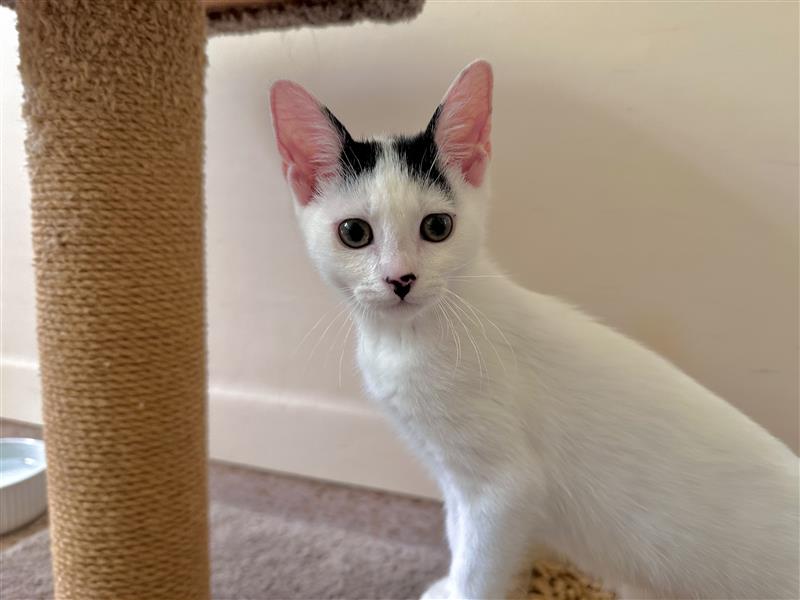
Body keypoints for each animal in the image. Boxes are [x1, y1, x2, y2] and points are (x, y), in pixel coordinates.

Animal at [268, 60, 799, 600]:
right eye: (354, 233)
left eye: (437, 227)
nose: (400, 279)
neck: (408, 340)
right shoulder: (454, 477)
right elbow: (457, 532)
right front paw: (449, 584)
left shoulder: (503, 490)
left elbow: (480, 566)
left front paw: (461, 589)